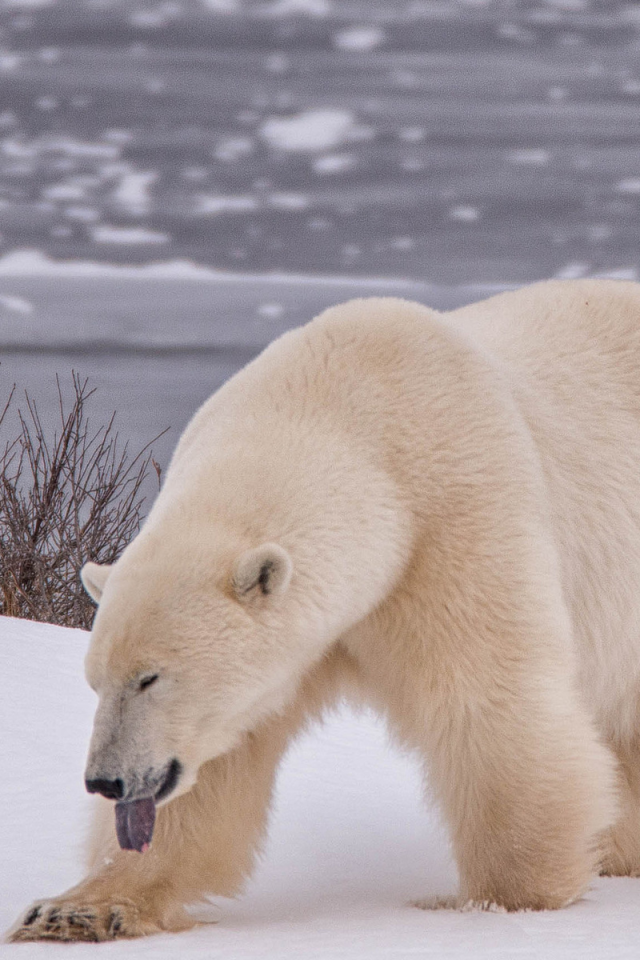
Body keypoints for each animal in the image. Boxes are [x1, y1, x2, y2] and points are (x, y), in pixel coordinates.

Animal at [10, 282, 640, 940]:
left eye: (150, 677)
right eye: (95, 681)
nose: (105, 780)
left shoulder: (454, 522)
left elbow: (483, 700)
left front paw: (505, 899)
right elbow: (217, 767)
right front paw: (73, 910)